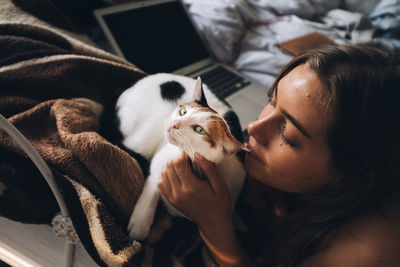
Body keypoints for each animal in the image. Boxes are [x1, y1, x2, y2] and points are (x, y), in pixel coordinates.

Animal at [115, 74, 247, 242]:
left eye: (200, 130)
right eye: (183, 112)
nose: (174, 124)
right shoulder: (158, 165)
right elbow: (151, 188)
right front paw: (139, 225)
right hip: (144, 137)